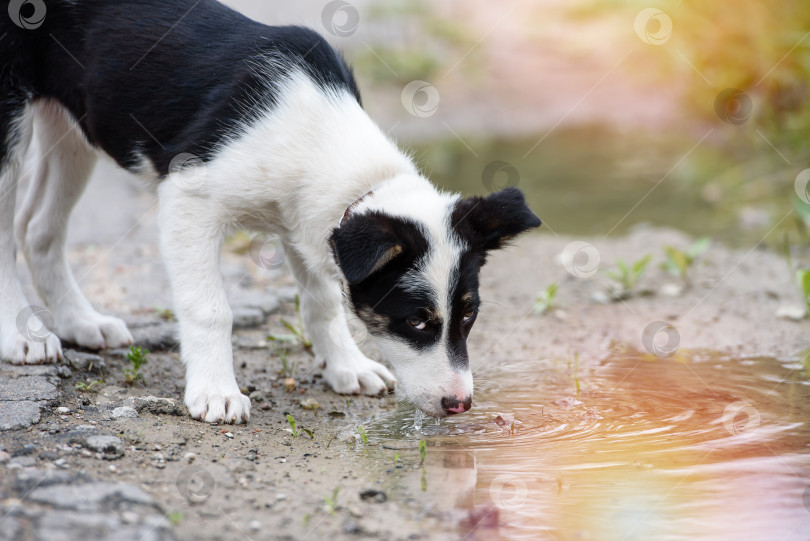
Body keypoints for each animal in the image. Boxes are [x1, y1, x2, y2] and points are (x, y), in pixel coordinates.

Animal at [3, 0, 540, 422]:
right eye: (416, 322)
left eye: (468, 316)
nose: (460, 405)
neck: (318, 134)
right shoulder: (188, 201)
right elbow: (210, 307)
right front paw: (216, 392)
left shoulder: (306, 221)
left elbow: (322, 302)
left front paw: (346, 366)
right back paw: (21, 337)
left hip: (72, 129)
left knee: (38, 228)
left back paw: (79, 322)